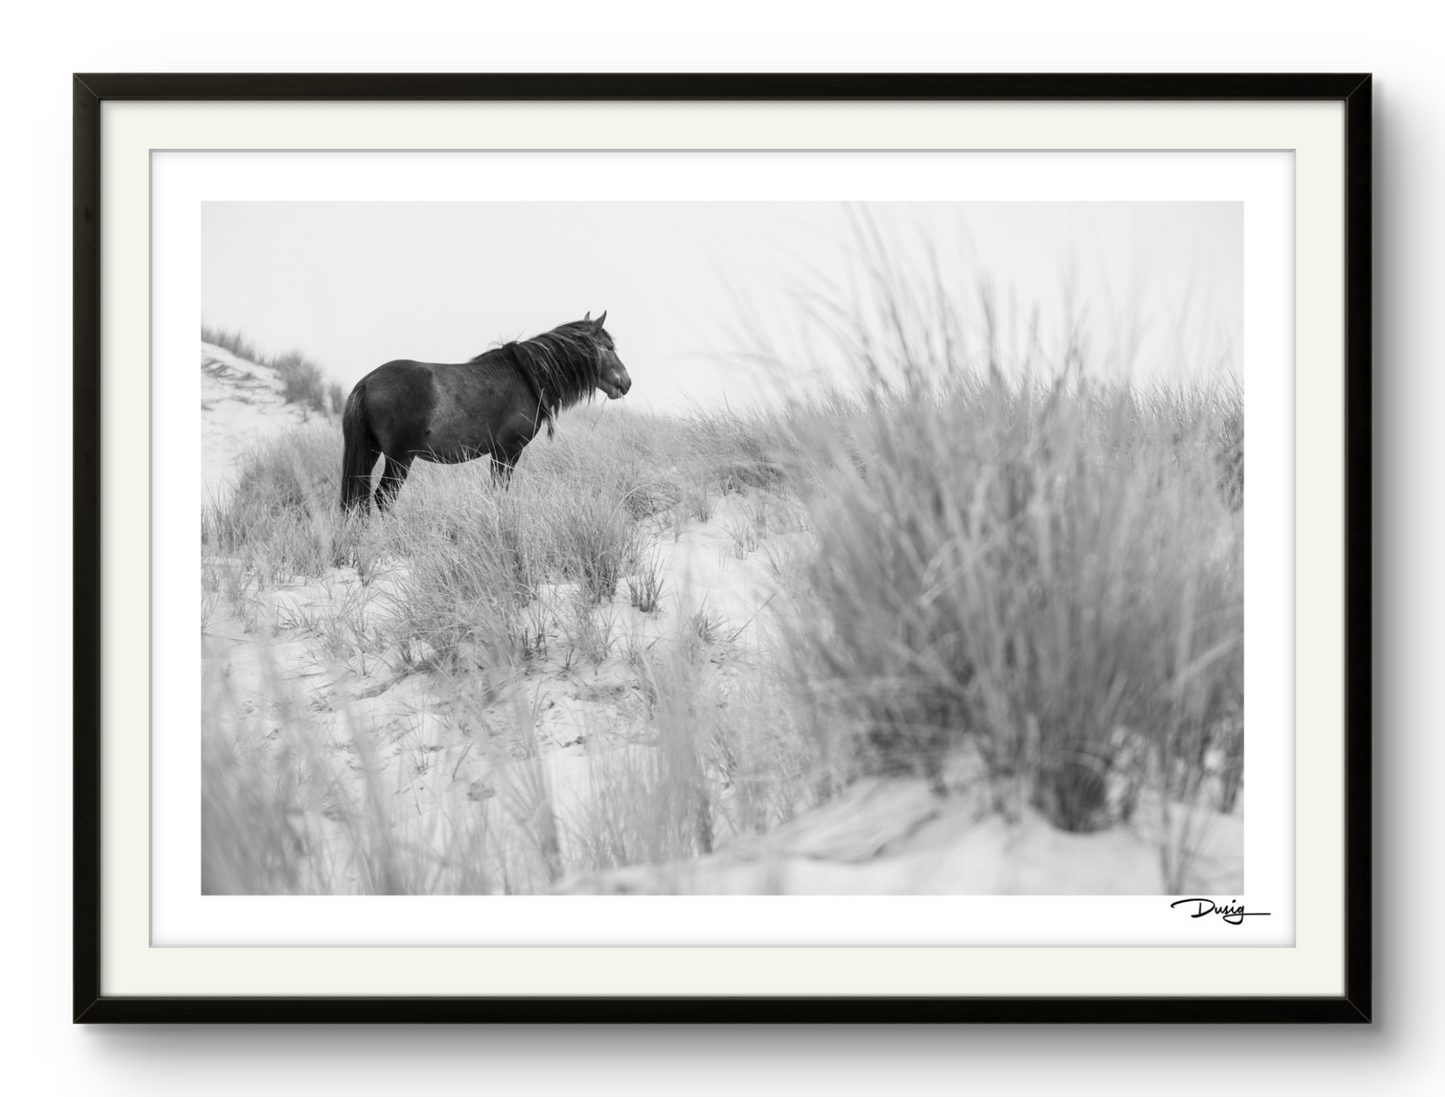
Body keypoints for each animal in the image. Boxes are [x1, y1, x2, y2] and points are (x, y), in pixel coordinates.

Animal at [343, 310, 632, 511]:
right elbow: (499, 491)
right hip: (400, 458)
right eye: (609, 348)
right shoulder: (509, 451)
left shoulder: (499, 453)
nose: (626, 383)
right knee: (384, 497)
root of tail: (367, 382)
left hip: (372, 451)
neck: (526, 376)